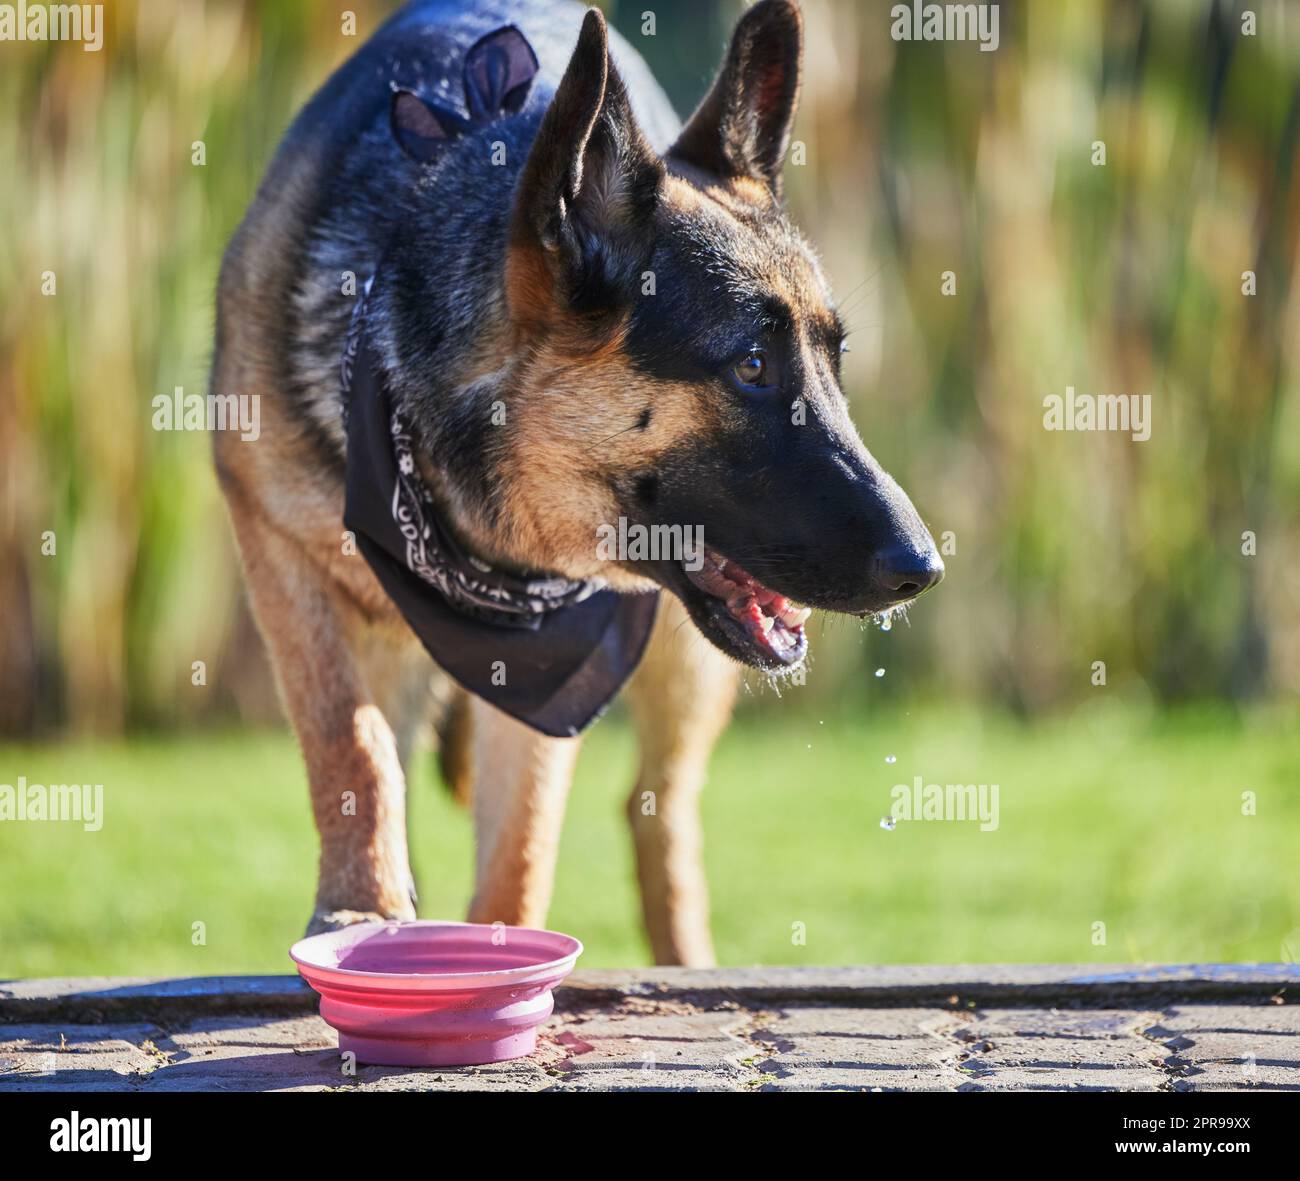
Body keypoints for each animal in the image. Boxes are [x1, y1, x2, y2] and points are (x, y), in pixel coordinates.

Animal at [215, 0, 946, 957]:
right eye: (752, 365)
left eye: (836, 363)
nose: (924, 567)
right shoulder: (283, 560)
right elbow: (350, 747)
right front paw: (360, 911)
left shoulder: (554, 657)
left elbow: (519, 851)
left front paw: (494, 954)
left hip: (683, 669)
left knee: (657, 811)